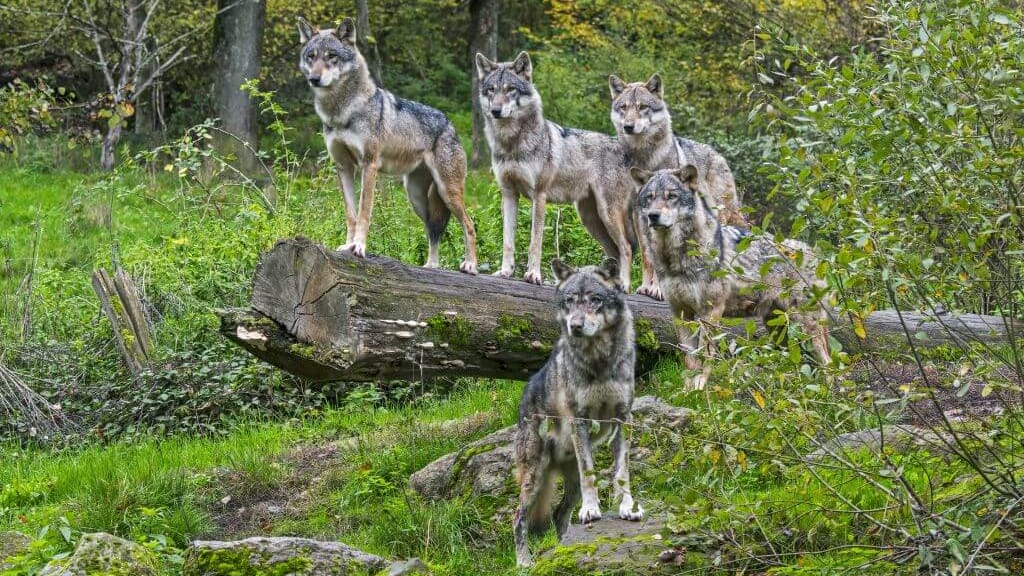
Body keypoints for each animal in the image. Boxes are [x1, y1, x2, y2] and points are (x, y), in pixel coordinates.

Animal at [298, 17, 478, 273]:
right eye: (311, 56)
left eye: (331, 56)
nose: (314, 79)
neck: (342, 112)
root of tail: (450, 123)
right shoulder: (343, 167)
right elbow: (350, 214)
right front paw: (346, 246)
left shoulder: (369, 165)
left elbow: (364, 211)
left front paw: (359, 247)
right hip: (417, 199)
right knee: (433, 231)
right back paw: (430, 267)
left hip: (447, 192)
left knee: (469, 225)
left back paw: (470, 265)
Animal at [476, 52, 654, 291]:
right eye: (491, 90)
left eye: (510, 89)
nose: (495, 111)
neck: (512, 143)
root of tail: (630, 155)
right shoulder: (509, 193)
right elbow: (507, 241)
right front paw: (505, 272)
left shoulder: (539, 196)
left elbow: (535, 242)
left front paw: (533, 275)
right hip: (591, 219)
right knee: (615, 252)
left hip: (608, 213)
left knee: (626, 248)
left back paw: (623, 286)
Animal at [512, 257, 643, 567]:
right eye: (570, 301)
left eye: (595, 300)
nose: (575, 325)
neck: (599, 360)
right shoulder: (580, 420)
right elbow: (590, 472)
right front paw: (591, 509)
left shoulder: (624, 418)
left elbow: (622, 471)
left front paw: (628, 507)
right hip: (534, 477)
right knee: (518, 518)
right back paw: (524, 562)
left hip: (567, 485)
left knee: (559, 515)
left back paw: (564, 549)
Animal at [610, 74, 745, 298]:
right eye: (624, 107)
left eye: (643, 107)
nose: (628, 126)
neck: (644, 158)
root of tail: (719, 155)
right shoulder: (639, 213)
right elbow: (648, 256)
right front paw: (644, 286)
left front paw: (658, 289)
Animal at [633, 167, 830, 390]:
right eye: (650, 197)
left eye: (671, 196)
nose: (653, 215)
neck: (676, 258)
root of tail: (816, 253)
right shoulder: (680, 312)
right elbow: (689, 358)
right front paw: (687, 391)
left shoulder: (711, 311)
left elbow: (705, 353)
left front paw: (700, 387)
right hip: (778, 328)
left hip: (805, 326)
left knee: (827, 362)